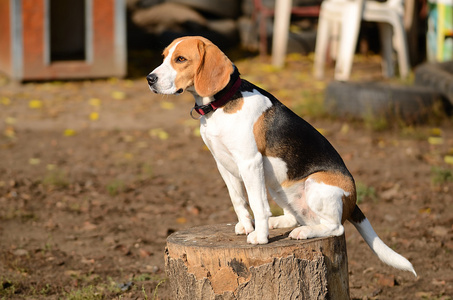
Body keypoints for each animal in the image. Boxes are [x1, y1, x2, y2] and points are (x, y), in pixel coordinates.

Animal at [148, 36, 416, 276]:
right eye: (164, 57)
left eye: (180, 59)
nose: (150, 78)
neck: (220, 104)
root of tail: (352, 202)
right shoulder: (222, 163)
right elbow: (238, 200)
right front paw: (247, 226)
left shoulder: (249, 162)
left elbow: (256, 203)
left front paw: (259, 236)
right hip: (279, 187)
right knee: (299, 218)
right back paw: (278, 222)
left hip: (316, 183)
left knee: (335, 227)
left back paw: (301, 232)